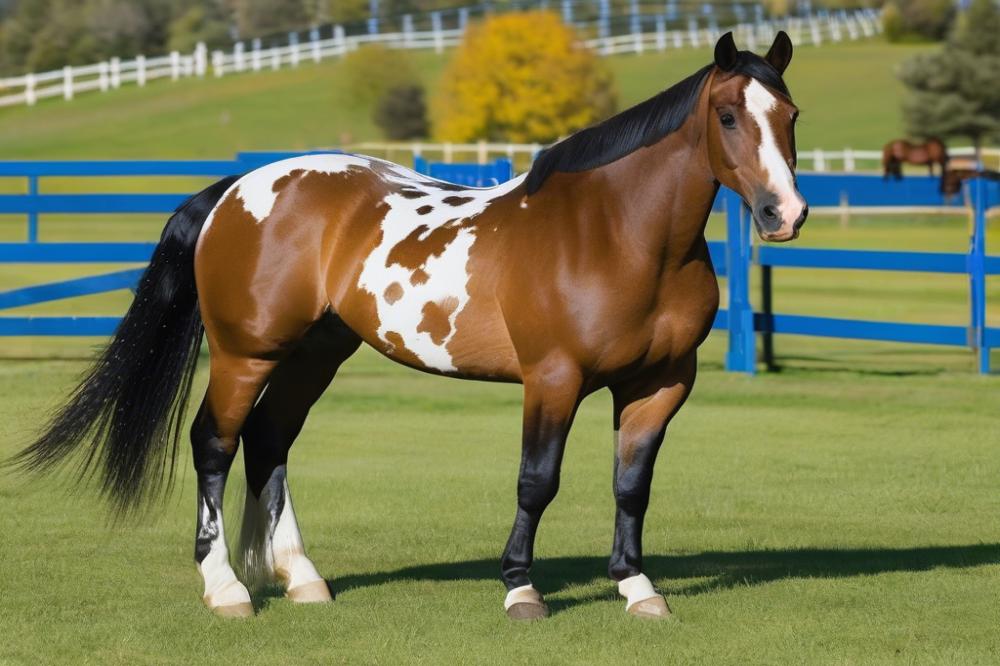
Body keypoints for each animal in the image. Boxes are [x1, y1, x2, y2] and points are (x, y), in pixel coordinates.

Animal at [12, 31, 806, 622]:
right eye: (728, 116)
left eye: (791, 115)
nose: (784, 214)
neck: (614, 233)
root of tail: (235, 189)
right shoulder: (553, 378)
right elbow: (536, 481)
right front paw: (520, 588)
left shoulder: (660, 384)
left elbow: (631, 485)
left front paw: (637, 588)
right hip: (247, 352)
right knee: (215, 442)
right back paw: (227, 587)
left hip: (314, 354)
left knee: (268, 442)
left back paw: (301, 578)